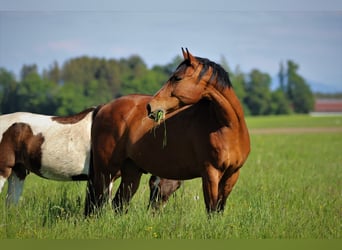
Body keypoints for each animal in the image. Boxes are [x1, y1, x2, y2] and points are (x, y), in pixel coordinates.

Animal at [87, 48, 250, 215]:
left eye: (177, 78)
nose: (150, 106)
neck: (226, 127)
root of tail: (104, 107)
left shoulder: (232, 174)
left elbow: (219, 209)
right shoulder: (210, 174)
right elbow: (211, 209)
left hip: (131, 171)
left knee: (119, 203)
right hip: (106, 170)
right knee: (97, 204)